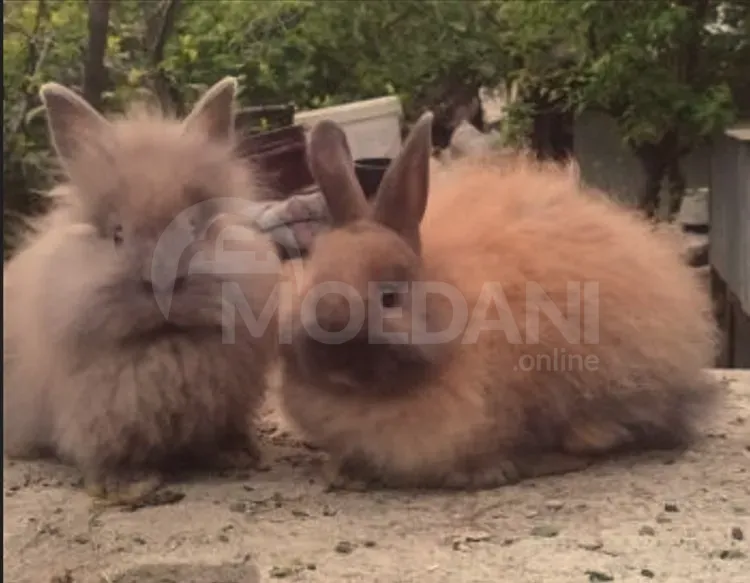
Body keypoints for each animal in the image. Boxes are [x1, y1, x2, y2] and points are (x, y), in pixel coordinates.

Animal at [3, 77, 284, 505]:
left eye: (195, 227)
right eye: (117, 234)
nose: (163, 281)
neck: (167, 347)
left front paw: (239, 455)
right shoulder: (91, 415)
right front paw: (130, 485)